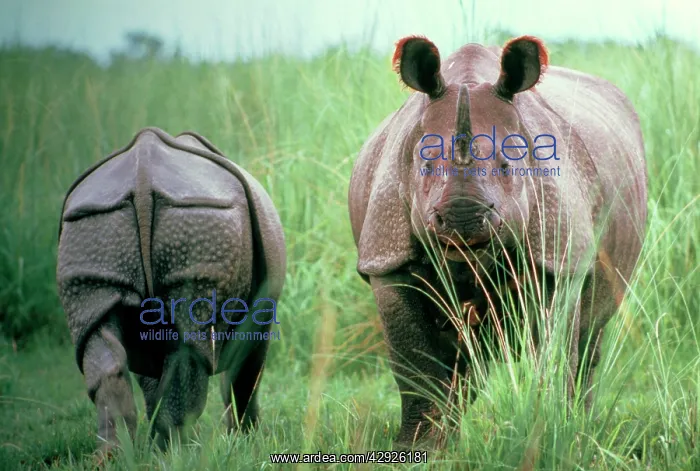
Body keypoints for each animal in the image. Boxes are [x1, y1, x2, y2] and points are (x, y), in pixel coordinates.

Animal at [56, 127, 286, 451]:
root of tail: (142, 178)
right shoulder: (260, 315)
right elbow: (244, 375)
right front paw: (246, 439)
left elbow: (153, 380)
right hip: (200, 215)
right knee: (195, 342)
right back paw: (176, 449)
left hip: (93, 225)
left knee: (101, 333)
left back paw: (122, 453)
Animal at [348, 35, 647, 447]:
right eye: (425, 167)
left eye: (508, 167)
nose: (463, 219)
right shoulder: (387, 256)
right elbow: (415, 367)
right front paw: (419, 449)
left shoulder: (558, 258)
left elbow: (554, 356)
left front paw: (548, 434)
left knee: (590, 339)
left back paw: (582, 428)